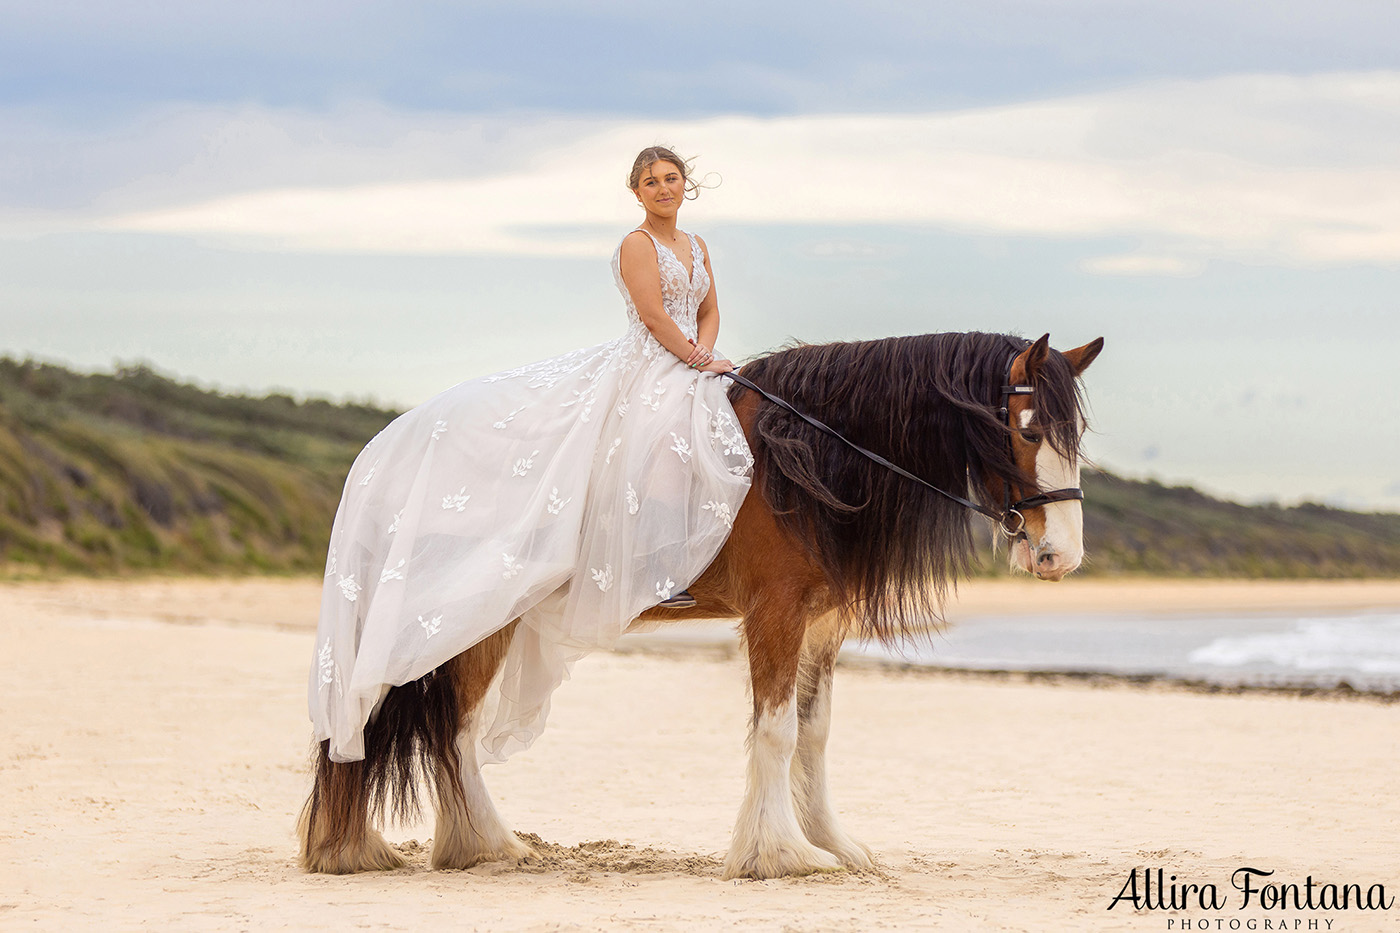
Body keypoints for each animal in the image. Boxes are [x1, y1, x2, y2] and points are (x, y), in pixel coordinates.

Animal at [298, 330, 1103, 874]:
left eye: (1077, 434)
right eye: (1028, 430)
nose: (1061, 556)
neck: (802, 454)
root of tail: (382, 452)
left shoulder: (820, 624)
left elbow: (814, 734)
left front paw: (832, 843)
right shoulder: (775, 614)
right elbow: (775, 733)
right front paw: (778, 854)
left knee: (445, 729)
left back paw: (467, 845)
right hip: (465, 617)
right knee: (446, 730)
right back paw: (466, 845)